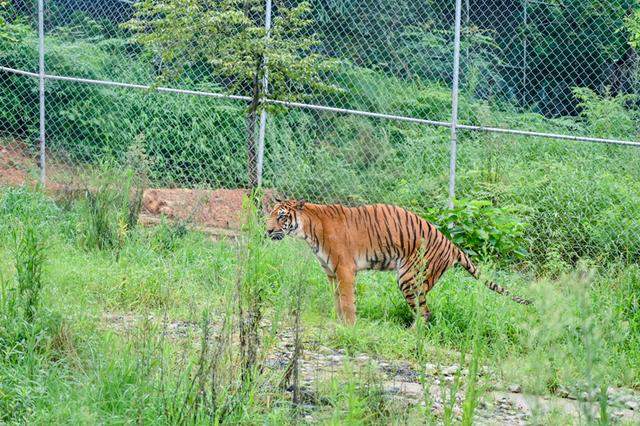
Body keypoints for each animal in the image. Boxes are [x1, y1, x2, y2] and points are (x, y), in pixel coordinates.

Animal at [264, 198, 528, 324]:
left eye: (282, 217)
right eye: (270, 215)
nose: (267, 231)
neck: (307, 231)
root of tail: (451, 244)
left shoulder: (344, 269)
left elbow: (347, 302)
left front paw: (349, 326)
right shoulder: (330, 272)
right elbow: (337, 301)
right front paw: (338, 322)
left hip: (410, 279)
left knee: (425, 314)